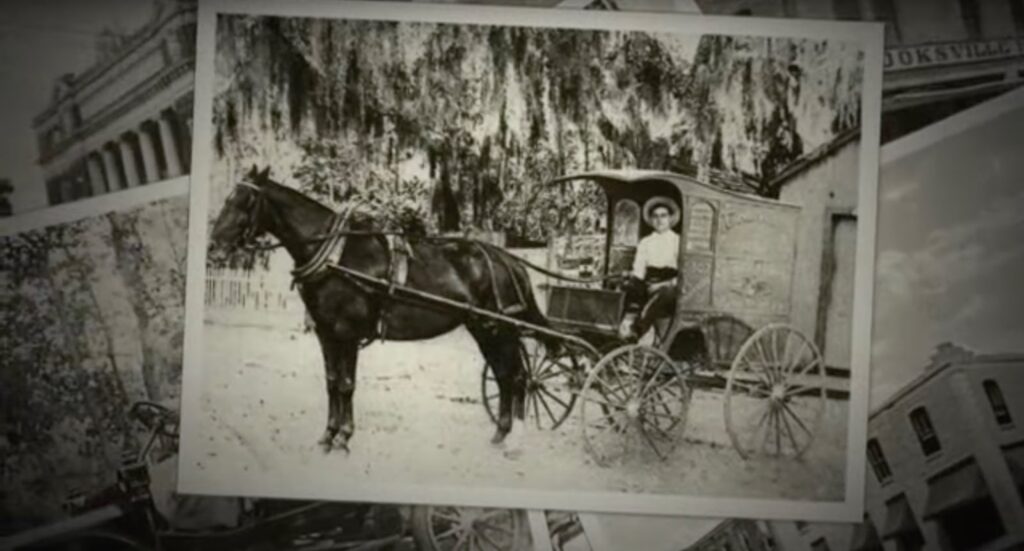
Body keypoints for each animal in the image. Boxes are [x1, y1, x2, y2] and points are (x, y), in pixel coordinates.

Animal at [207, 166, 552, 450]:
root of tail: (509, 260)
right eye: (228, 198)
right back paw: (500, 434)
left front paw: (343, 438)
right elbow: (331, 383)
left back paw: (515, 439)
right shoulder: (326, 334)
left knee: (518, 377)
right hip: (484, 328)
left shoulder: (347, 334)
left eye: (246, 201)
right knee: (504, 375)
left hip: (502, 328)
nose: (214, 249)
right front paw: (327, 436)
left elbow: (346, 385)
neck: (336, 256)